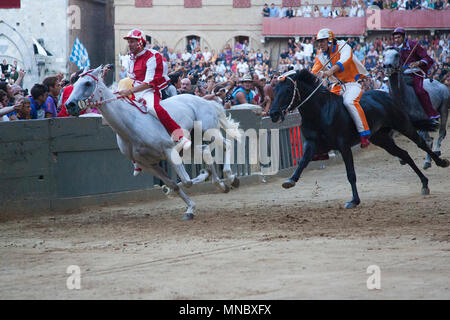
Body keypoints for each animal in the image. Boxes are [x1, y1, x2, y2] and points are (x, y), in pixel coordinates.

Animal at [65, 65, 241, 220]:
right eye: (74, 83)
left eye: (87, 83)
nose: (69, 105)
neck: (131, 124)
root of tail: (206, 101)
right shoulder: (148, 164)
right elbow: (175, 185)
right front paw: (190, 209)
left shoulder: (169, 152)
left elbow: (186, 181)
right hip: (190, 146)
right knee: (205, 151)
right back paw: (220, 182)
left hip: (209, 132)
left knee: (226, 144)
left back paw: (230, 178)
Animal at [268, 69, 448, 209]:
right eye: (274, 91)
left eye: (287, 90)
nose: (273, 114)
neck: (320, 112)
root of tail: (386, 95)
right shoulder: (311, 144)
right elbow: (302, 162)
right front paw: (290, 180)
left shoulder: (343, 146)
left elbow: (351, 174)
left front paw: (354, 200)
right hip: (381, 138)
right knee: (404, 154)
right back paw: (424, 183)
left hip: (403, 125)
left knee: (421, 143)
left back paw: (440, 162)